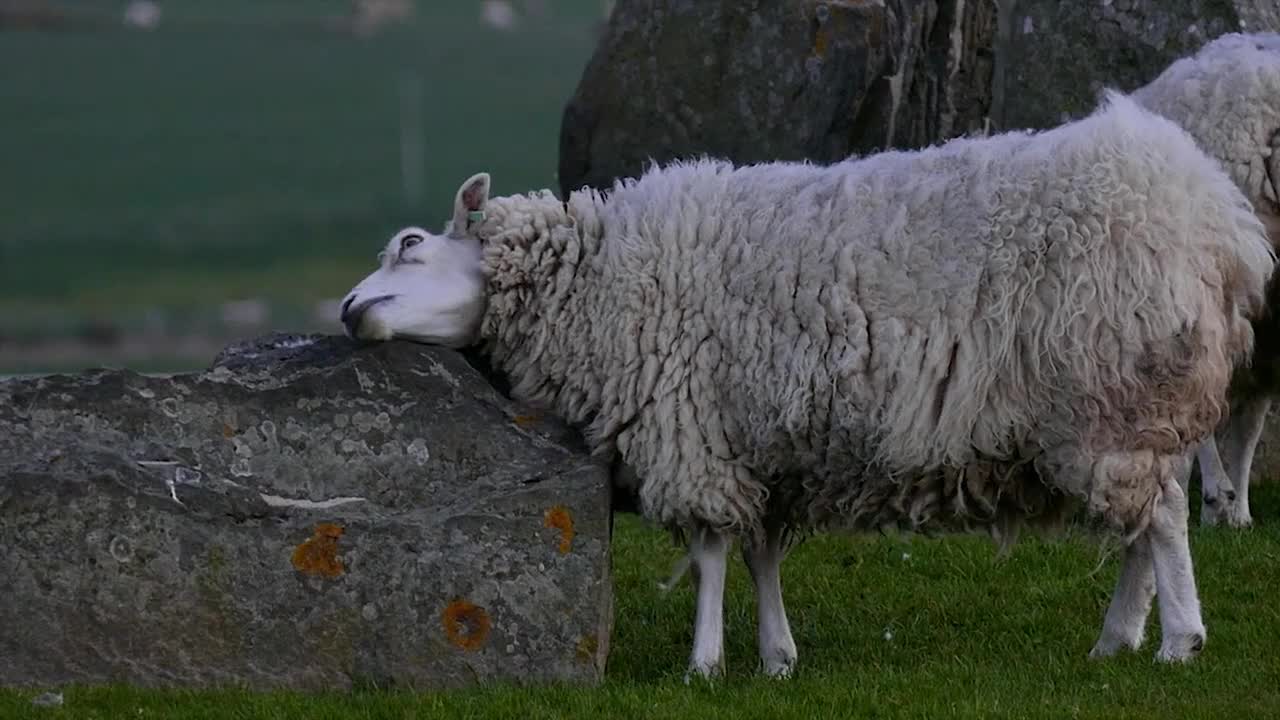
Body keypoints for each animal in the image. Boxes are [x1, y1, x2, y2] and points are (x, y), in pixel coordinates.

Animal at [337, 92, 1269, 676]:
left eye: (411, 245)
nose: (346, 310)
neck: (597, 279)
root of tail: (1216, 221)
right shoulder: (763, 445)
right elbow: (758, 553)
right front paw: (776, 656)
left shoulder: (692, 429)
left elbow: (710, 552)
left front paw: (704, 663)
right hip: (1127, 413)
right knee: (1143, 523)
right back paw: (1119, 641)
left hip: (1113, 398)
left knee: (1163, 518)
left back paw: (1179, 640)